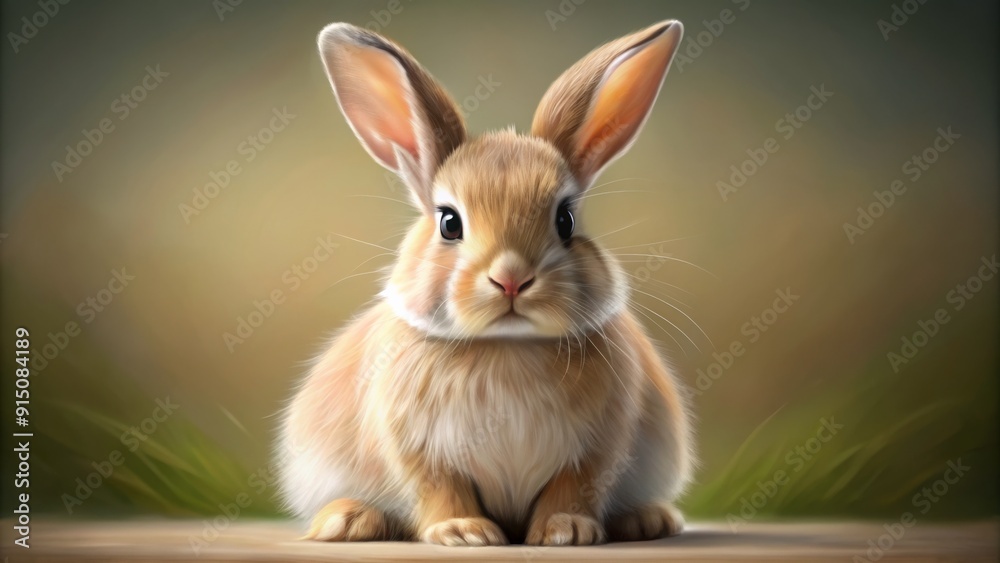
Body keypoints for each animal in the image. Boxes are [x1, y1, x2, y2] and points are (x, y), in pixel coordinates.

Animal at [278, 19, 693, 546]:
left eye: (566, 219)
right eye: (449, 222)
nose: (512, 278)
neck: (506, 346)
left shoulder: (598, 446)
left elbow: (573, 485)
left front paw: (566, 530)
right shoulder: (419, 451)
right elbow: (440, 488)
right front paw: (463, 532)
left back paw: (648, 519)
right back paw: (347, 521)